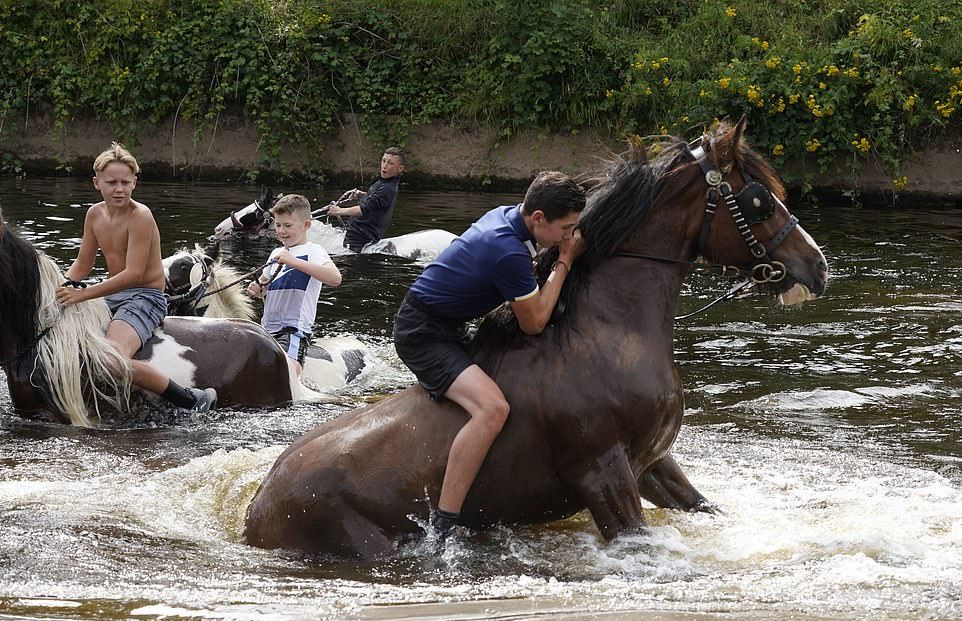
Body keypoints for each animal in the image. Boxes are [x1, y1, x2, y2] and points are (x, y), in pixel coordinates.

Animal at [244, 117, 828, 556]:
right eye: (758, 200)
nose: (817, 266)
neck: (607, 332)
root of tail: (259, 506)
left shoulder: (652, 462)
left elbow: (706, 506)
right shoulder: (602, 472)